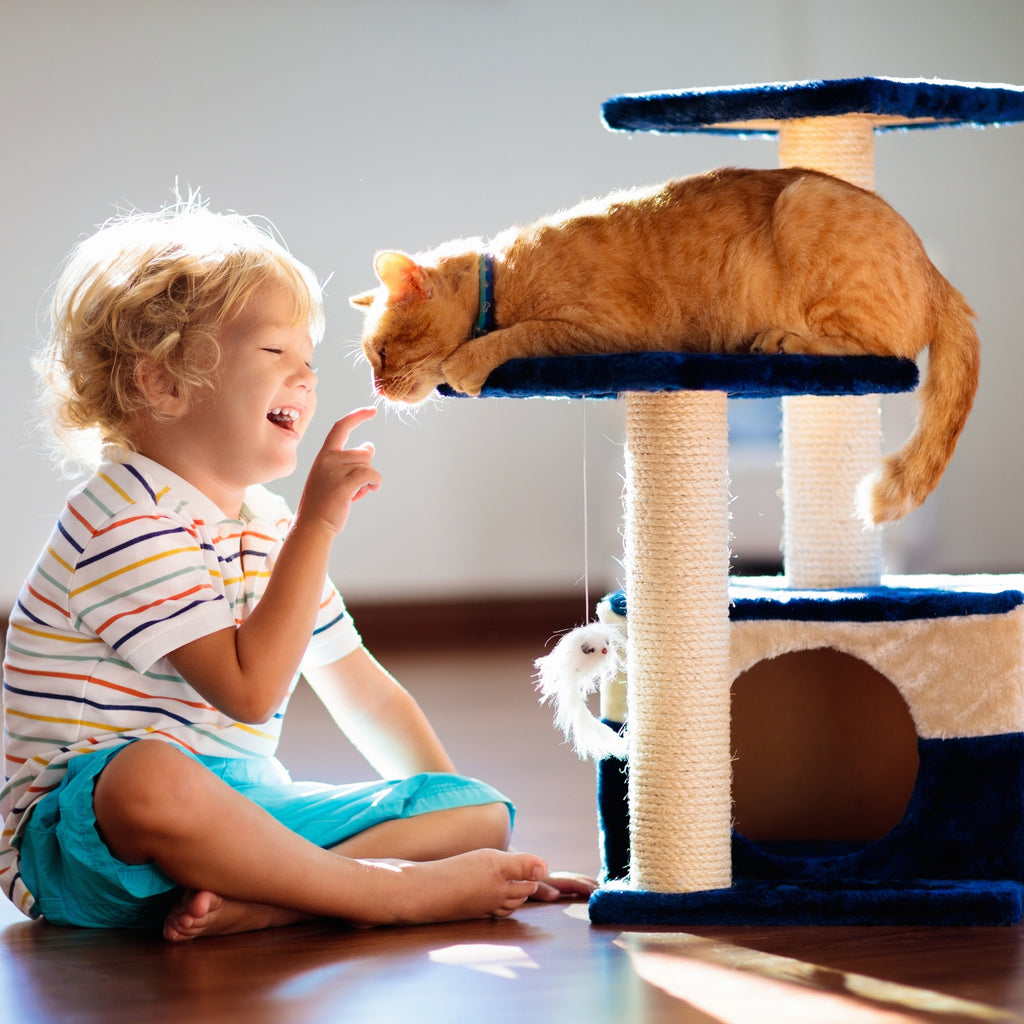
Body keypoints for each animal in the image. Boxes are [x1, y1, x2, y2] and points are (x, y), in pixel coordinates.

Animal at [350, 166, 980, 526]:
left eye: (380, 354)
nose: (377, 387)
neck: (500, 277)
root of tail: (938, 276)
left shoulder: (598, 331)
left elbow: (515, 335)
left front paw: (466, 363)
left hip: (805, 206)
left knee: (877, 353)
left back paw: (780, 339)